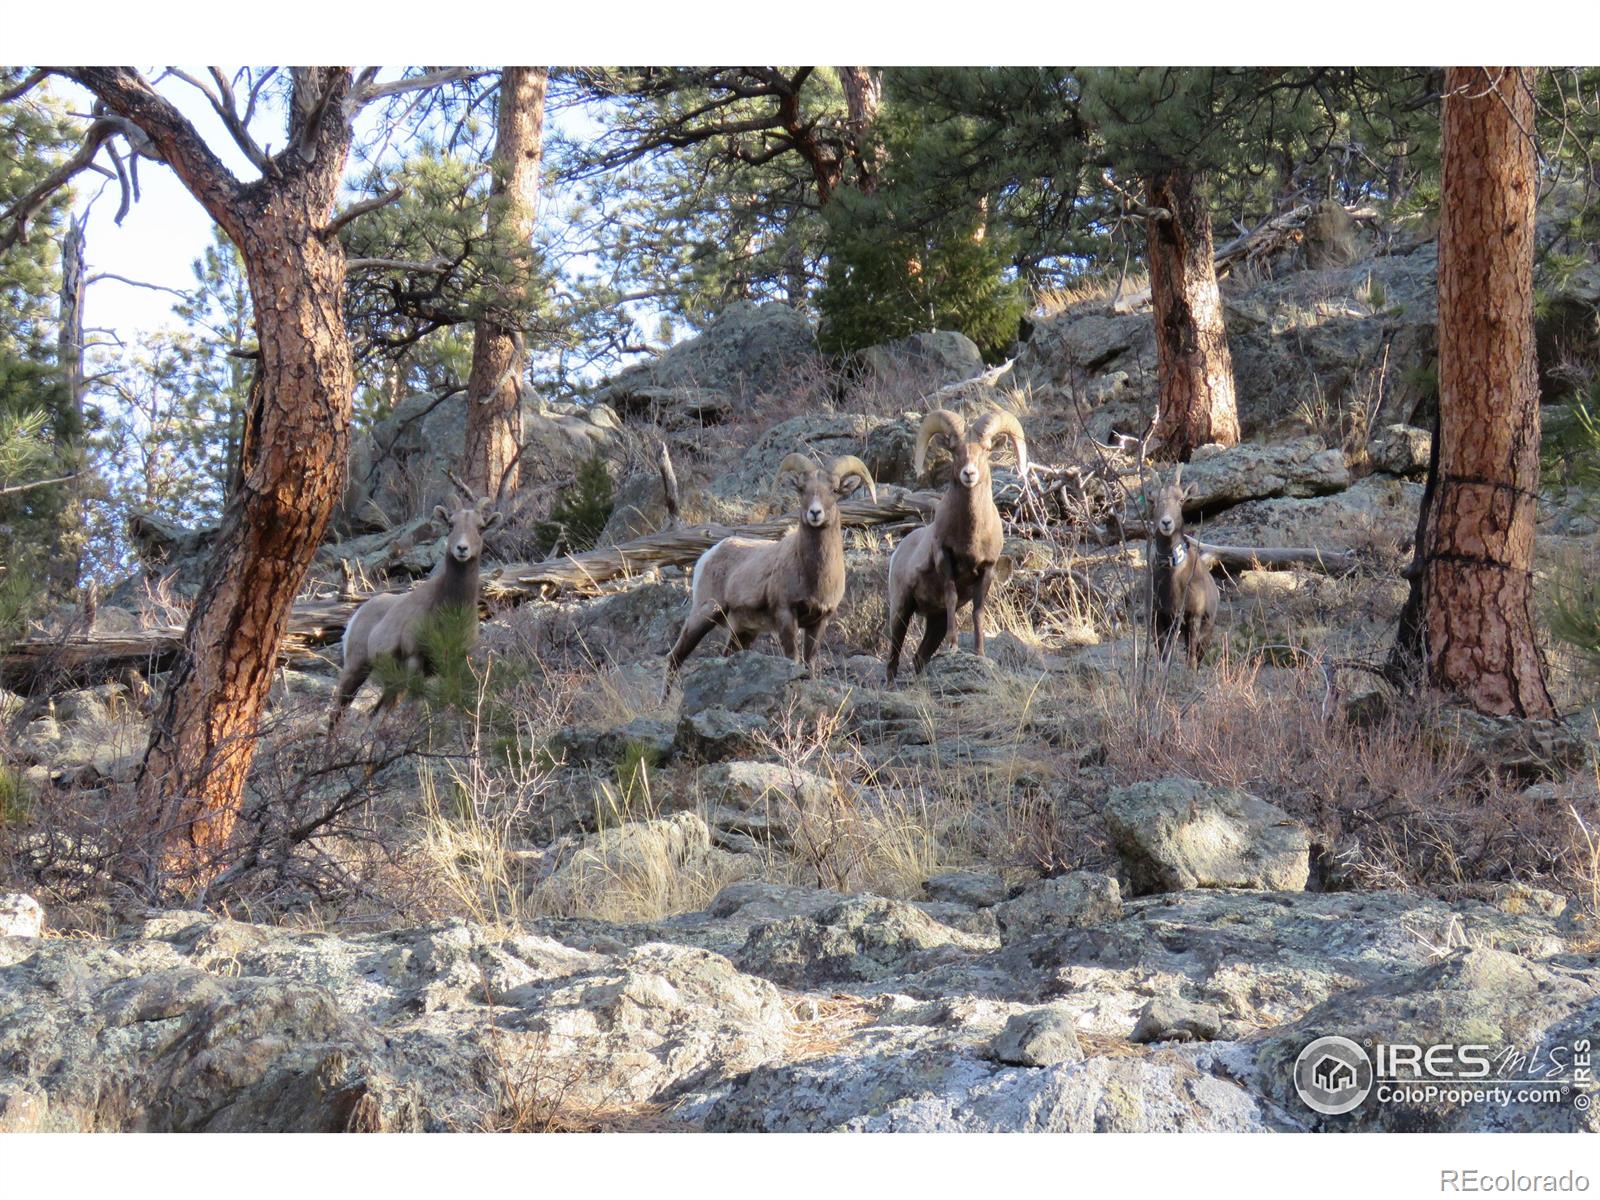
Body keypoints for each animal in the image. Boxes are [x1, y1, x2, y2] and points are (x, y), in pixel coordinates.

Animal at [326, 492, 496, 729]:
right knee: (337, 713)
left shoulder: (455, 663)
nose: (462, 549)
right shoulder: (415, 659)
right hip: (356, 669)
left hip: (390, 680)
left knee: (374, 712)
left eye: (480, 528)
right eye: (451, 525)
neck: (451, 613)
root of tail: (356, 616)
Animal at [662, 451, 876, 681]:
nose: (815, 513)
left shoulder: (819, 622)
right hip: (705, 614)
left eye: (834, 490)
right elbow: (793, 659)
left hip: (743, 632)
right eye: (802, 489)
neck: (814, 574)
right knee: (675, 658)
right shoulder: (786, 614)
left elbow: (809, 663)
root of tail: (709, 554)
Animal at [883, 406, 1030, 681]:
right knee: (893, 659)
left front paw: (979, 653)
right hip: (901, 610)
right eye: (954, 450)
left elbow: (978, 612)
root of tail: (900, 549)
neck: (970, 535)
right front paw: (953, 647)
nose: (969, 474)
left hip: (935, 623)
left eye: (985, 449)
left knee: (919, 657)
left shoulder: (987, 570)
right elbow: (951, 598)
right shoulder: (946, 560)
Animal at [1145, 464, 1216, 668]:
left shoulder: (1193, 618)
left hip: (1206, 633)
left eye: (1181, 499)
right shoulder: (1157, 618)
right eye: (1153, 500)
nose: (1166, 522)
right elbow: (1163, 656)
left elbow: (1190, 660)